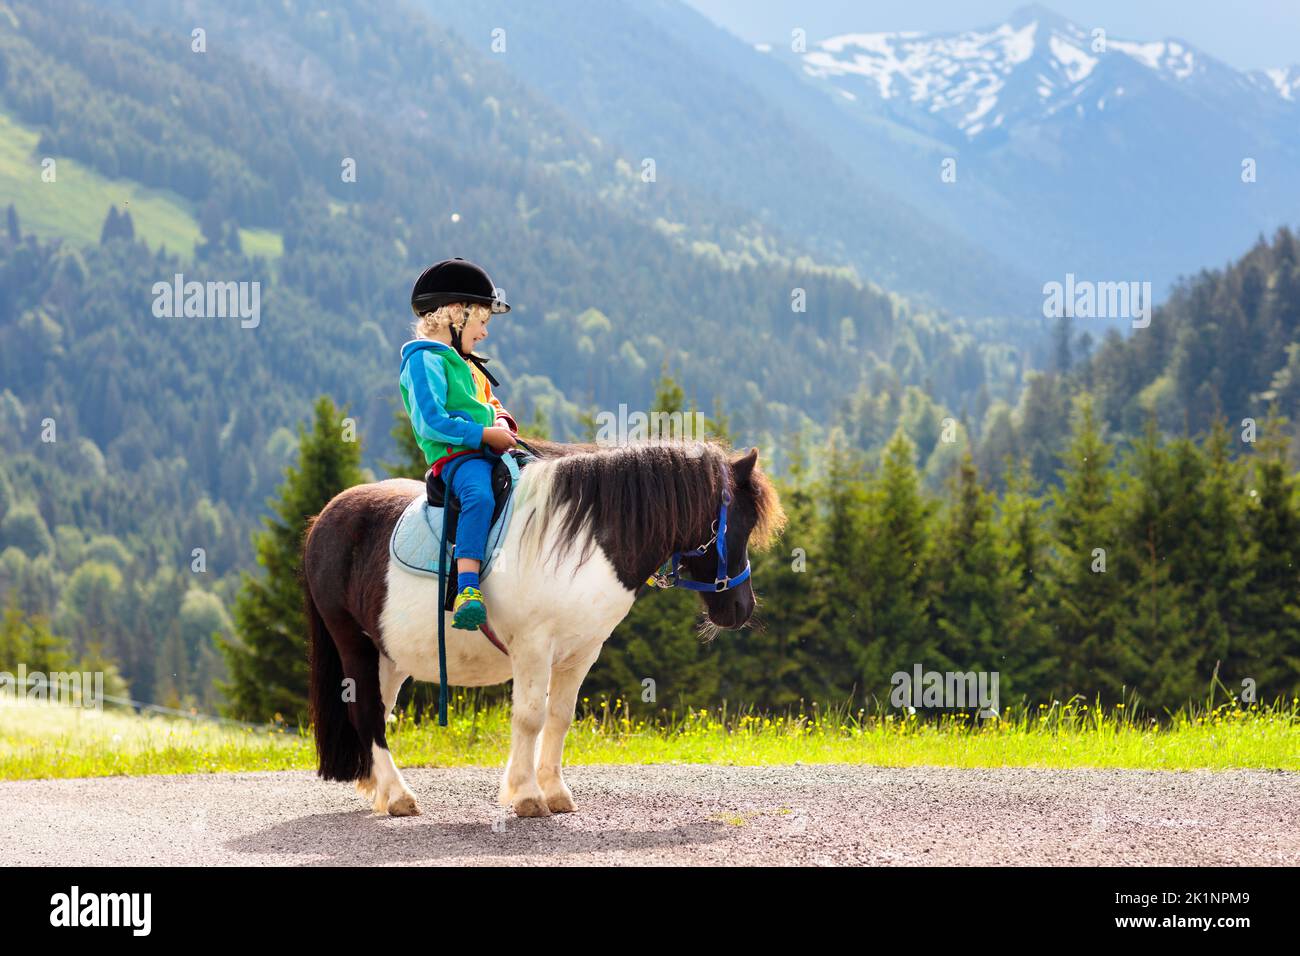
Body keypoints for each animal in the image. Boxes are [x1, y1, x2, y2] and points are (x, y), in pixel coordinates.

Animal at [304, 442, 785, 822]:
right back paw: (399, 796)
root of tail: (324, 519)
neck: (584, 542)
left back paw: (380, 789)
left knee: (378, 712)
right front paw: (527, 796)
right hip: (353, 643)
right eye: (738, 523)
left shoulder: (581, 652)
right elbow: (530, 717)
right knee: (366, 712)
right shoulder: (533, 647)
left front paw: (553, 792)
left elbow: (559, 717)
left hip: (389, 654)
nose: (741, 608)